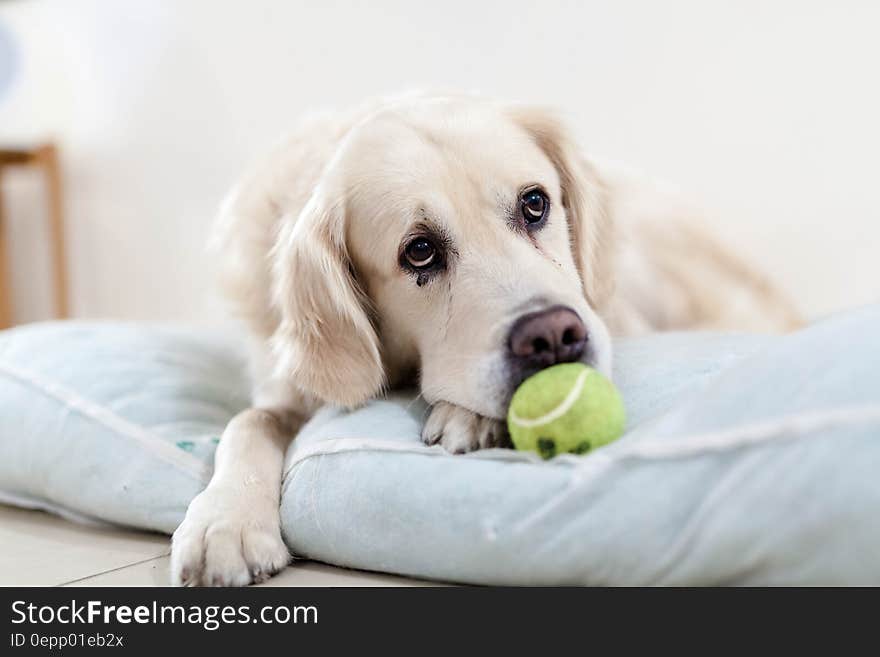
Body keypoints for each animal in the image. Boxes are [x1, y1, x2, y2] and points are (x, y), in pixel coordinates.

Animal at [168, 91, 800, 584]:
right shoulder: (286, 388)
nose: (553, 338)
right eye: (419, 251)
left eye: (535, 202)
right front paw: (224, 521)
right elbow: (248, 422)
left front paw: (469, 415)